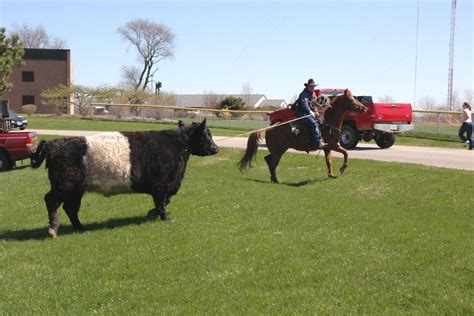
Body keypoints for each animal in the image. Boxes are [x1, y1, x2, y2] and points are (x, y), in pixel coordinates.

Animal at [30, 120, 219, 237]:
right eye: (207, 134)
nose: (216, 148)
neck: (178, 146)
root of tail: (53, 143)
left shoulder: (163, 187)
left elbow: (163, 202)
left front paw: (151, 213)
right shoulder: (162, 185)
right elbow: (162, 203)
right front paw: (162, 217)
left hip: (76, 189)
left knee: (70, 208)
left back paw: (80, 227)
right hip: (65, 184)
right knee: (51, 200)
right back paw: (53, 228)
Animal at [239, 89, 368, 183]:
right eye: (351, 99)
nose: (364, 108)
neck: (328, 122)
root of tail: (269, 128)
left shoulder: (327, 148)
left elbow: (329, 161)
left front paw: (331, 174)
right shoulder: (333, 145)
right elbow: (346, 153)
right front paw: (343, 168)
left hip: (277, 151)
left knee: (268, 159)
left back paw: (272, 178)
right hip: (278, 151)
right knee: (272, 164)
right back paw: (276, 180)